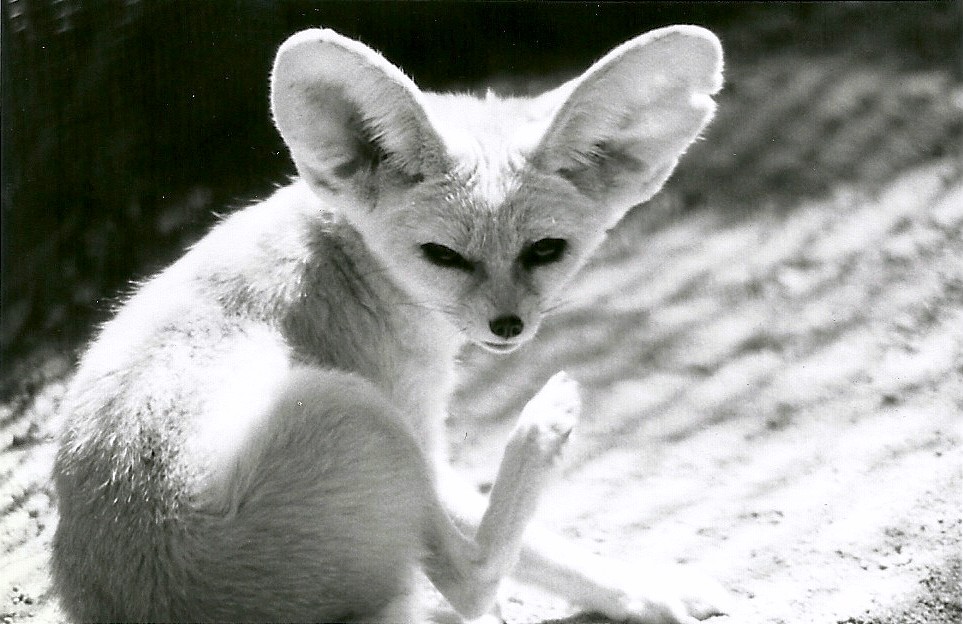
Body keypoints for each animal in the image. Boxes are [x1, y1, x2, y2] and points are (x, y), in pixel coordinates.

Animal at [51, 24, 727, 624]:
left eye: (544, 251)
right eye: (443, 256)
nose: (507, 326)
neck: (341, 260)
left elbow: (550, 553)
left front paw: (640, 591)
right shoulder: (415, 429)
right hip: (352, 410)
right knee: (471, 582)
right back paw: (544, 426)